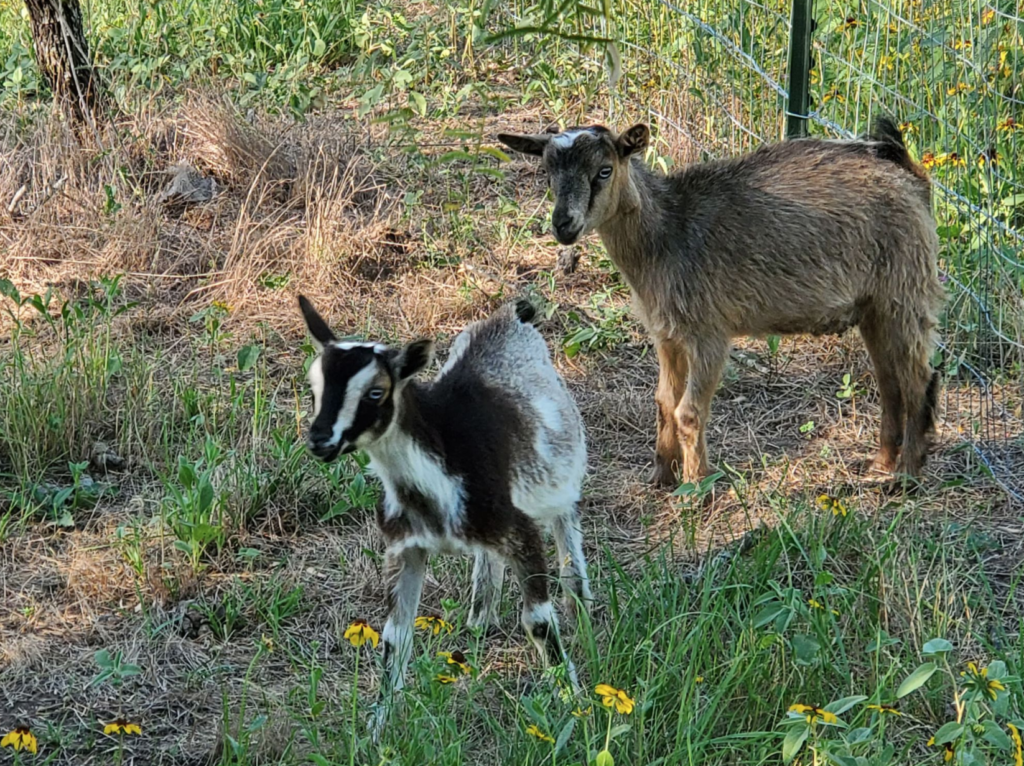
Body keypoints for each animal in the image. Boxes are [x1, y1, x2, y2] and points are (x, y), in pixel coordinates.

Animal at [499, 122, 937, 487]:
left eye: (604, 171)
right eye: (548, 174)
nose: (563, 225)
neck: (666, 234)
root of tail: (906, 171)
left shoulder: (709, 332)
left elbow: (689, 411)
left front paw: (697, 487)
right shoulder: (667, 335)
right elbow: (664, 402)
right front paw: (662, 476)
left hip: (904, 289)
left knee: (919, 378)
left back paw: (906, 477)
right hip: (873, 306)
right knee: (889, 381)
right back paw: (881, 464)